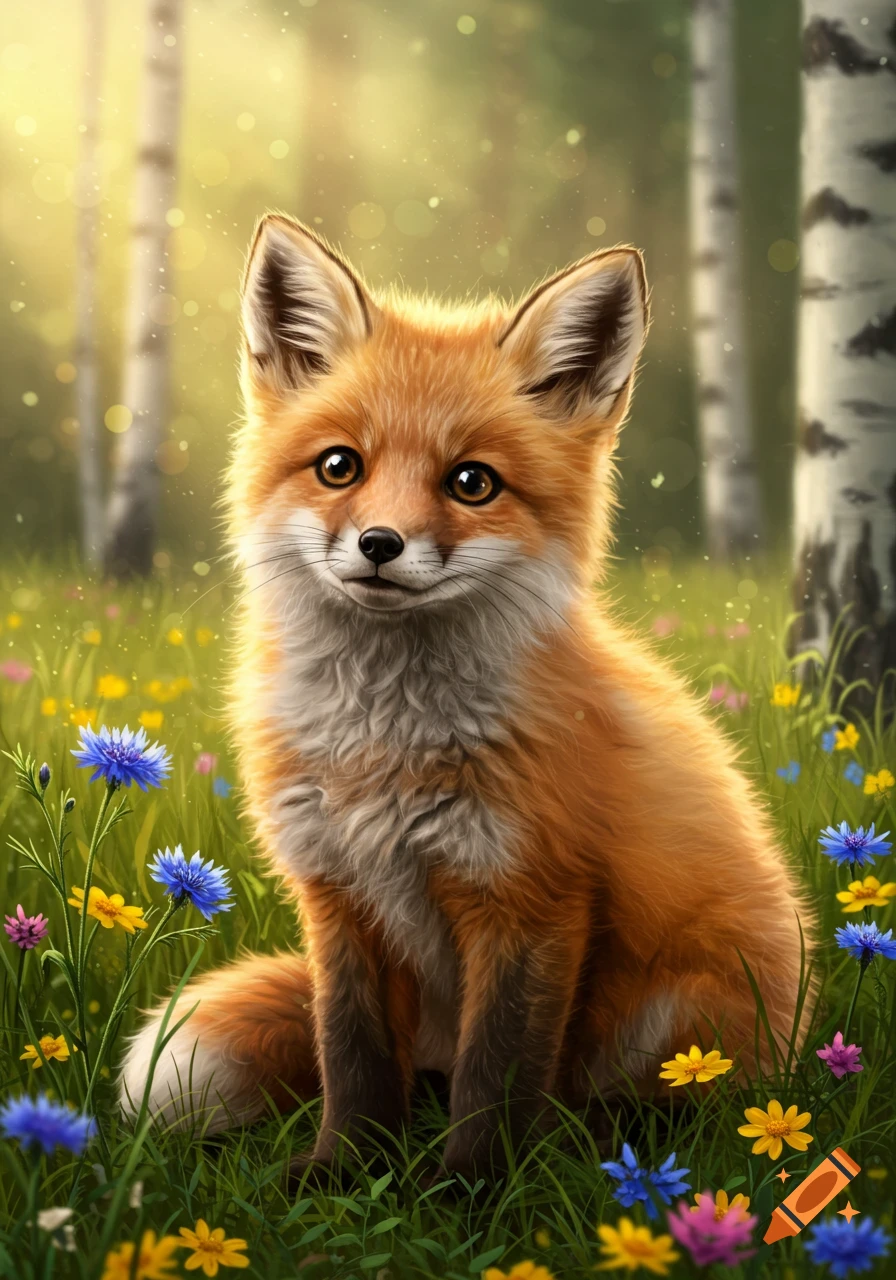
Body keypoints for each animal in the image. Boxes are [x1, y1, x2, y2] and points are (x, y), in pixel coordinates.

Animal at [120, 214, 810, 1177]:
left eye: (472, 482)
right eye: (340, 466)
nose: (380, 543)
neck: (383, 745)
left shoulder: (532, 897)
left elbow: (500, 1074)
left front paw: (474, 1188)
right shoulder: (337, 896)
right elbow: (352, 1057)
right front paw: (342, 1173)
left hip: (684, 1011)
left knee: (645, 1100)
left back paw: (596, 1140)